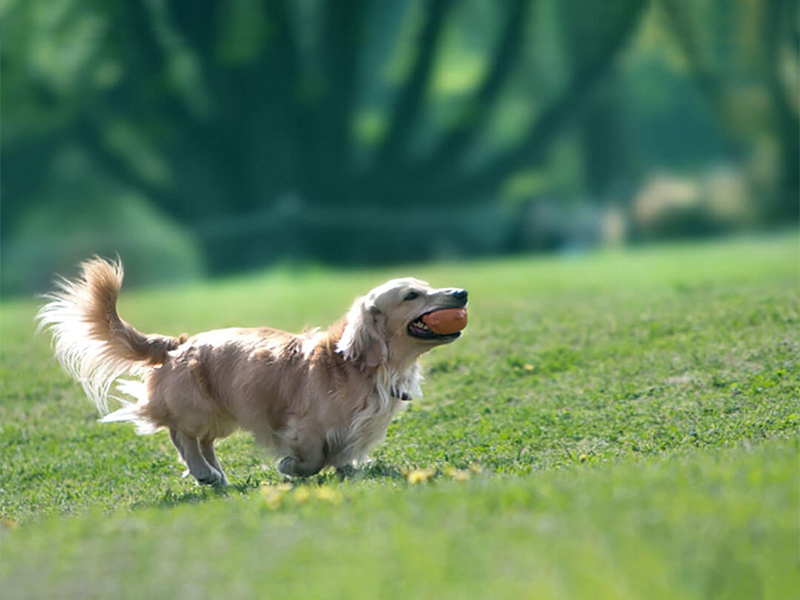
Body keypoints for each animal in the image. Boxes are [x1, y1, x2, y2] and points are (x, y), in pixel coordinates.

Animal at [37, 260, 468, 486]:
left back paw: (215, 473)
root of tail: (177, 345)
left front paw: (348, 470)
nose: (462, 293)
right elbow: (313, 457)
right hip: (197, 410)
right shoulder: (302, 428)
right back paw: (204, 473)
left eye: (428, 285)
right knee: (181, 435)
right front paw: (290, 468)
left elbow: (345, 455)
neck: (356, 366)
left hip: (222, 415)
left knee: (203, 441)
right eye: (412, 295)